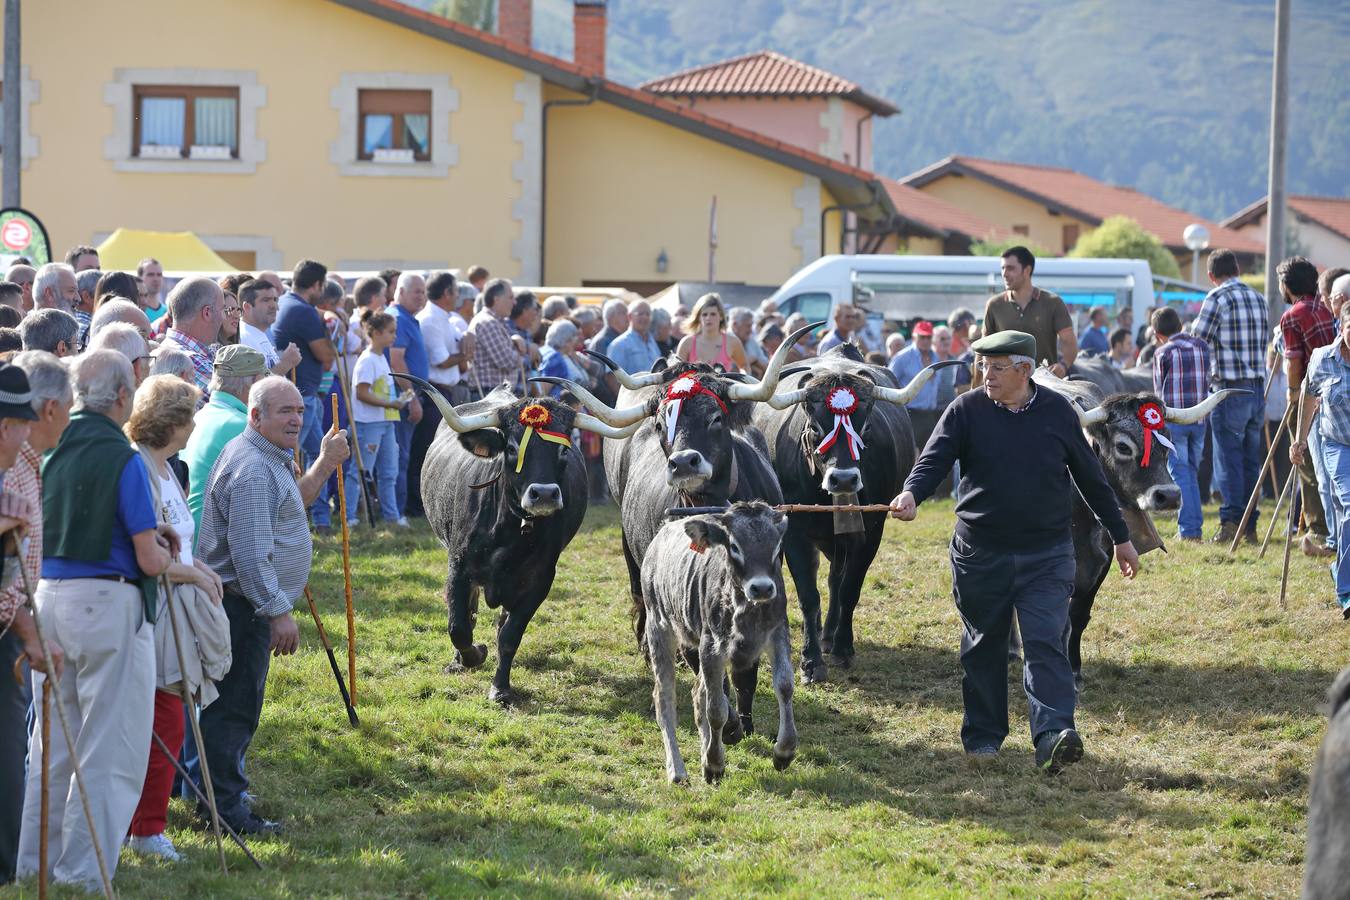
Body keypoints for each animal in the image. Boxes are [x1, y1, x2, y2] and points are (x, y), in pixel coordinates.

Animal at [394, 372, 639, 701]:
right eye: (511, 448)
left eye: (562, 450)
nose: (544, 494)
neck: (510, 531)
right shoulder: (458, 566)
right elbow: (459, 626)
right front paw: (473, 656)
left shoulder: (540, 580)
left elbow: (510, 634)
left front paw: (500, 688)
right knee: (469, 614)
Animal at [637, 504, 793, 782]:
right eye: (734, 546)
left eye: (777, 547)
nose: (762, 588)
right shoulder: (711, 646)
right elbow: (716, 708)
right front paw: (715, 764)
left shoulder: (778, 633)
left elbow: (784, 686)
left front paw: (784, 752)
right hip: (658, 625)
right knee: (664, 697)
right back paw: (677, 769)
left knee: (698, 694)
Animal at [756, 345, 966, 682]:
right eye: (814, 427)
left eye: (865, 427)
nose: (843, 480)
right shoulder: (795, 533)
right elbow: (808, 596)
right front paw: (811, 661)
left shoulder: (870, 531)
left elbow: (849, 589)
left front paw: (842, 647)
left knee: (836, 580)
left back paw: (830, 637)